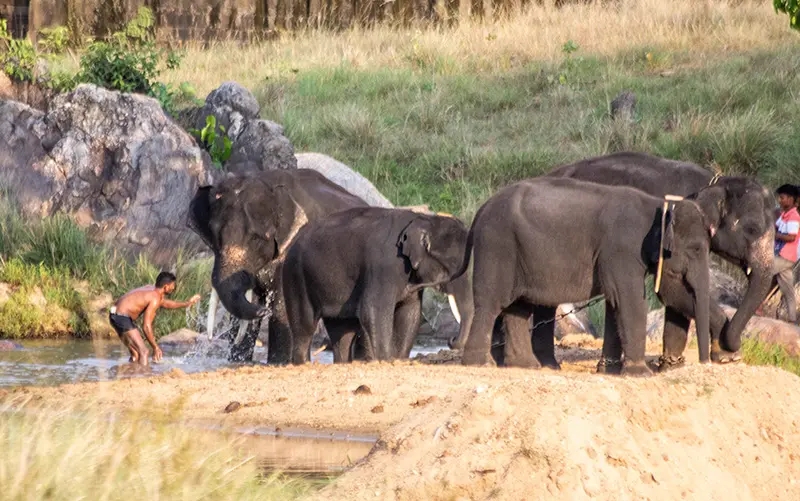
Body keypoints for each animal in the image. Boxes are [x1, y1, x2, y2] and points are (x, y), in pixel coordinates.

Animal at [282, 207, 468, 364]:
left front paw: (399, 360)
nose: (450, 340)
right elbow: (373, 310)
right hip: (296, 275)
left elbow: (410, 312)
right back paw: (303, 363)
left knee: (342, 330)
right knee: (305, 327)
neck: (423, 219)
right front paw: (386, 360)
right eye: (453, 264)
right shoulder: (383, 266)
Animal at [462, 176, 712, 376]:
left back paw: (526, 365)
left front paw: (608, 371)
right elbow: (630, 301)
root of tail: (482, 209)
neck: (659, 204)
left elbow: (615, 303)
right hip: (497, 246)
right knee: (492, 303)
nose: (706, 362)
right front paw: (640, 374)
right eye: (696, 249)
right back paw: (480, 364)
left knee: (518, 307)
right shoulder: (622, 249)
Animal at [544, 150, 776, 370]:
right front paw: (728, 356)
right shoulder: (669, 232)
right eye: (752, 229)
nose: (734, 345)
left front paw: (673, 367)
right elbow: (670, 287)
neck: (714, 182)